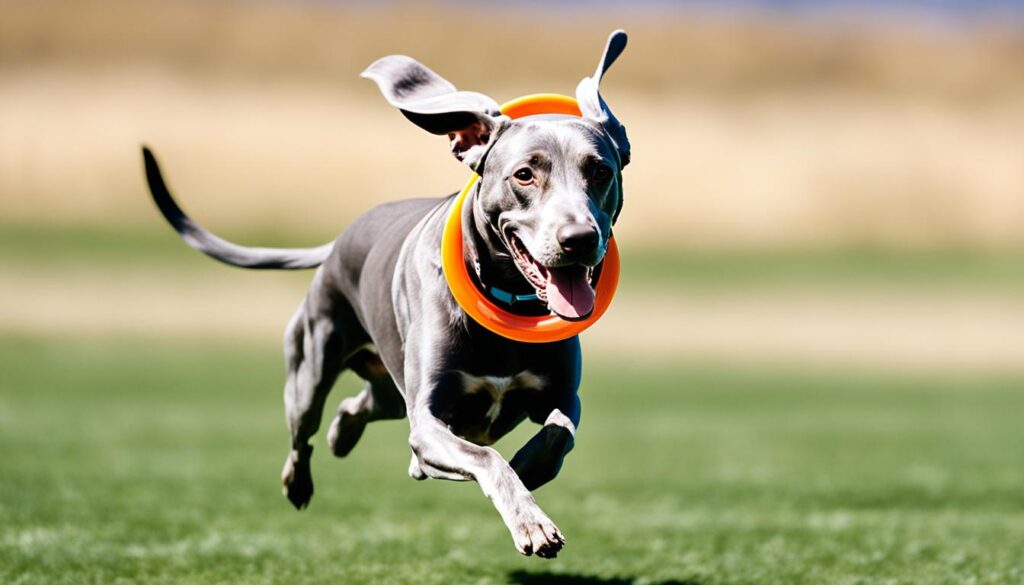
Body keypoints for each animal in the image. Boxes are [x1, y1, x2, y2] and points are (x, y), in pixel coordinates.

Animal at [140, 30, 626, 557]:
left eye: (601, 172)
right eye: (524, 174)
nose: (579, 239)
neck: (505, 295)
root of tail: (338, 241)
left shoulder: (561, 395)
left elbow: (556, 437)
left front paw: (529, 475)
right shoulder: (429, 423)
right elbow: (486, 457)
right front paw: (530, 521)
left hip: (390, 387)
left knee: (359, 405)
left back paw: (345, 432)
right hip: (312, 367)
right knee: (303, 432)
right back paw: (299, 480)